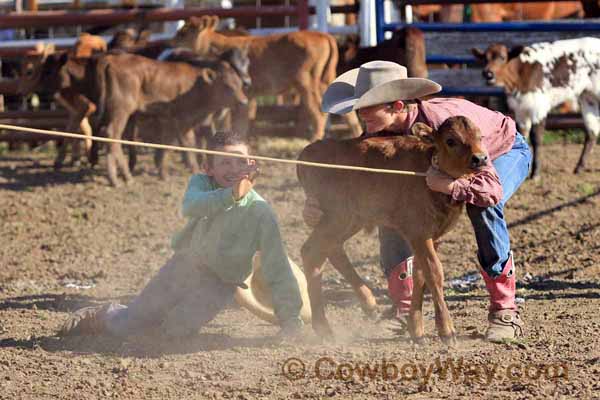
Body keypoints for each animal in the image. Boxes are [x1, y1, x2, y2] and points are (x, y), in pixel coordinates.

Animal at [474, 38, 600, 180]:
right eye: (485, 58)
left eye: (502, 57)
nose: (488, 74)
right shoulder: (520, 110)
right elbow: (523, 134)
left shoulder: (538, 107)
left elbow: (536, 138)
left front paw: (535, 173)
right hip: (588, 97)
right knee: (592, 132)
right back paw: (579, 167)